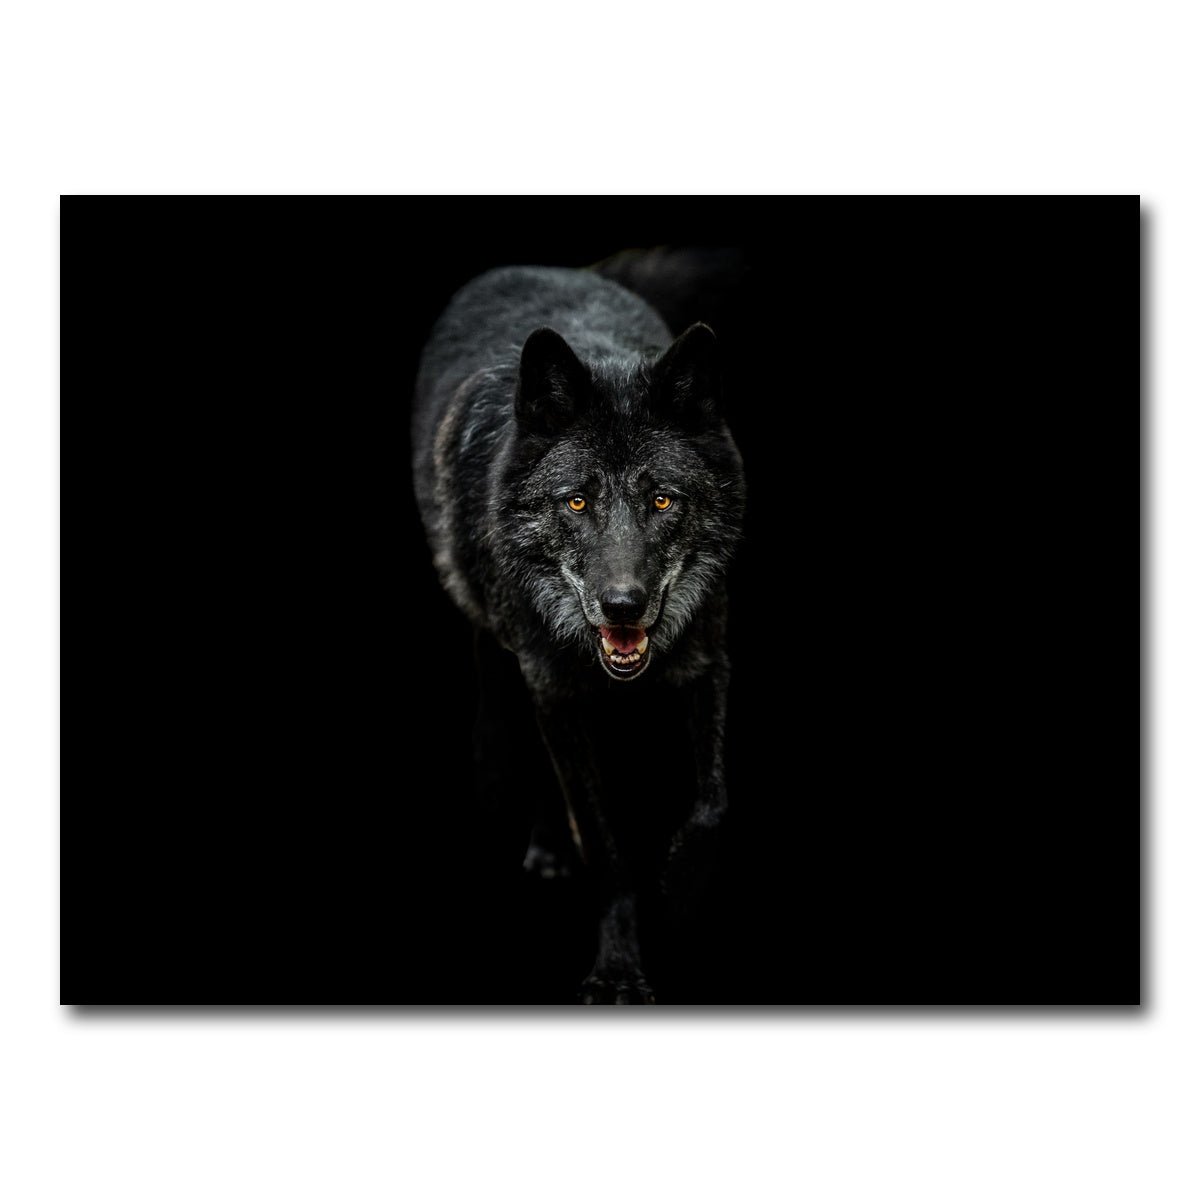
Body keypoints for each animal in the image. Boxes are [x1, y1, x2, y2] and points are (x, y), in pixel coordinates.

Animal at [412, 263, 746, 1003]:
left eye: (662, 499)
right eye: (577, 501)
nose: (622, 605)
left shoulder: (709, 661)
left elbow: (714, 802)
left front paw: (680, 895)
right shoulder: (553, 692)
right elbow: (602, 841)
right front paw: (618, 965)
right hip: (499, 651)